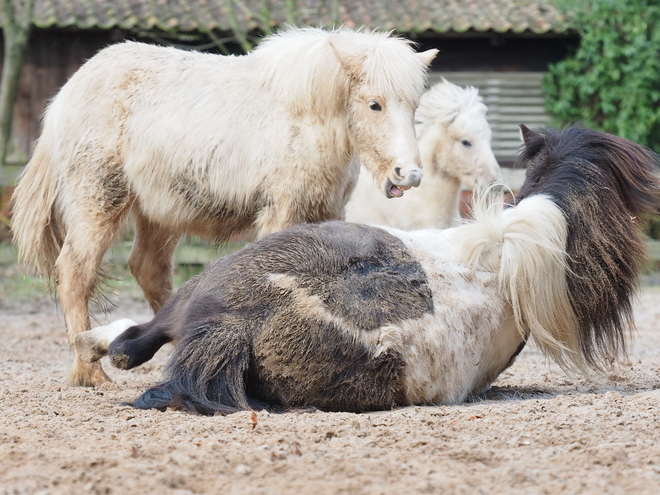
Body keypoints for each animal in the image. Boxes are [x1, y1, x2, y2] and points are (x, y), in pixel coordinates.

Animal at [11, 27, 438, 390]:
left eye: (414, 105)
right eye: (374, 104)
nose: (409, 174)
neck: (305, 116)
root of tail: (69, 92)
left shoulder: (326, 213)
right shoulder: (281, 212)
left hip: (159, 214)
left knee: (148, 269)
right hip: (99, 201)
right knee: (75, 271)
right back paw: (90, 374)